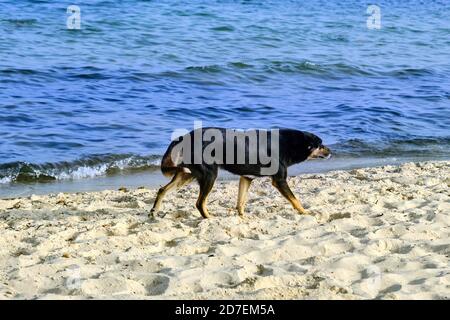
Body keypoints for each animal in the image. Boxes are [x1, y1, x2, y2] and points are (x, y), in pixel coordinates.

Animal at [151, 127, 330, 218]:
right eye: (320, 144)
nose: (331, 151)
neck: (289, 143)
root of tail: (186, 137)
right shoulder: (279, 180)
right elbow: (295, 200)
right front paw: (305, 212)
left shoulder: (246, 178)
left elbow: (241, 202)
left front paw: (242, 217)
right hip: (209, 175)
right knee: (199, 203)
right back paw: (210, 218)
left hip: (188, 173)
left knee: (162, 190)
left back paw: (154, 212)